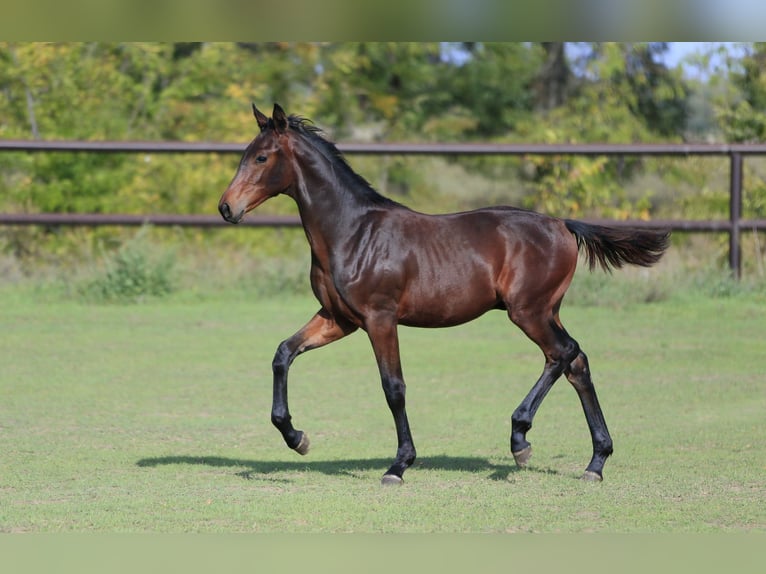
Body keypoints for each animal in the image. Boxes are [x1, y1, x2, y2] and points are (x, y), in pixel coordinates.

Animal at [218, 103, 672, 486]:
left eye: (261, 158)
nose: (226, 208)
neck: (351, 231)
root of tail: (563, 224)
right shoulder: (339, 318)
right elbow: (283, 353)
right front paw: (297, 437)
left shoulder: (379, 318)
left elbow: (393, 387)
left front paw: (398, 466)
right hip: (547, 311)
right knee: (576, 363)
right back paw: (595, 462)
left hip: (527, 311)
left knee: (563, 353)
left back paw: (521, 440)